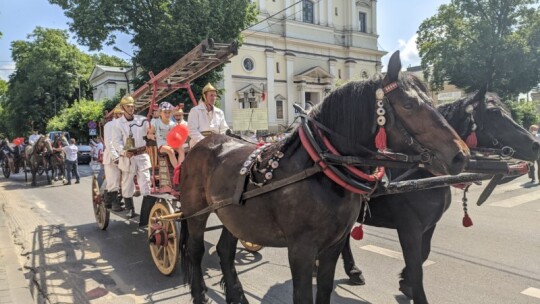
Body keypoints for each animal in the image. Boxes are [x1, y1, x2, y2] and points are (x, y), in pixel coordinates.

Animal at [179, 50, 470, 304]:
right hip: (195, 211)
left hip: (233, 216)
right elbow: (304, 296)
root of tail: (205, 142)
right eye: (409, 104)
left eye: (432, 102)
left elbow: (326, 288)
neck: (323, 168)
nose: (461, 155)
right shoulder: (301, 251)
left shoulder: (334, 245)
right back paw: (199, 294)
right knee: (195, 250)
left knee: (225, 251)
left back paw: (235, 294)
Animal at [342, 90, 540, 304]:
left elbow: (424, 254)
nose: (536, 145)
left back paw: (353, 271)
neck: (422, 172)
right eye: (494, 112)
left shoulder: (429, 224)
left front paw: (405, 282)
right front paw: (413, 288)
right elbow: (415, 266)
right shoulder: (409, 229)